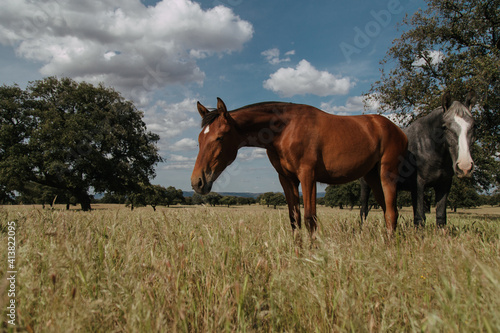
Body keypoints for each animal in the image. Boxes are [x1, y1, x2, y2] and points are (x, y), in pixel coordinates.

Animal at [190, 97, 406, 240]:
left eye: (220, 137)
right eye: (199, 138)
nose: (197, 182)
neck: (286, 128)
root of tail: (396, 129)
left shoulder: (307, 175)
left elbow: (310, 218)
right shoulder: (287, 179)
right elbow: (294, 218)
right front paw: (298, 253)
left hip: (387, 174)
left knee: (392, 213)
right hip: (372, 177)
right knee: (387, 211)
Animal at [362, 91, 474, 226]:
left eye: (474, 126)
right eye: (445, 127)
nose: (465, 167)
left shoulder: (444, 184)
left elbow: (441, 216)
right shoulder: (418, 185)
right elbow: (420, 217)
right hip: (366, 185)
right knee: (364, 210)